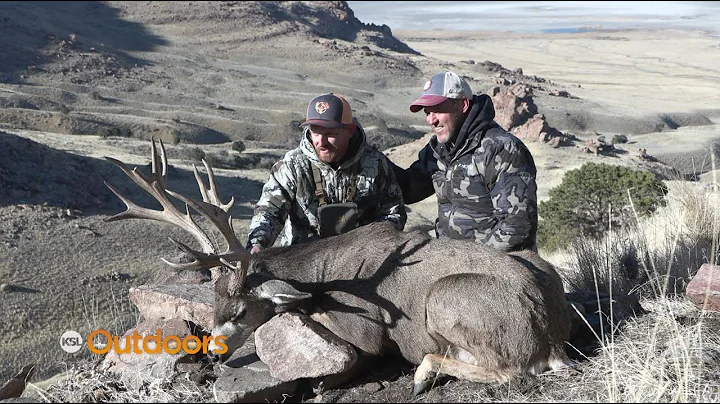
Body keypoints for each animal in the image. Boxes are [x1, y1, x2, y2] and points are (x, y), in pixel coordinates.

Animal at [104, 139, 572, 395]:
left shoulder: (364, 327)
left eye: (240, 310)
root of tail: (550, 339)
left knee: (509, 370)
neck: (322, 272)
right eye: (214, 304)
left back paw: (422, 374)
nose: (213, 353)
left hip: (448, 296)